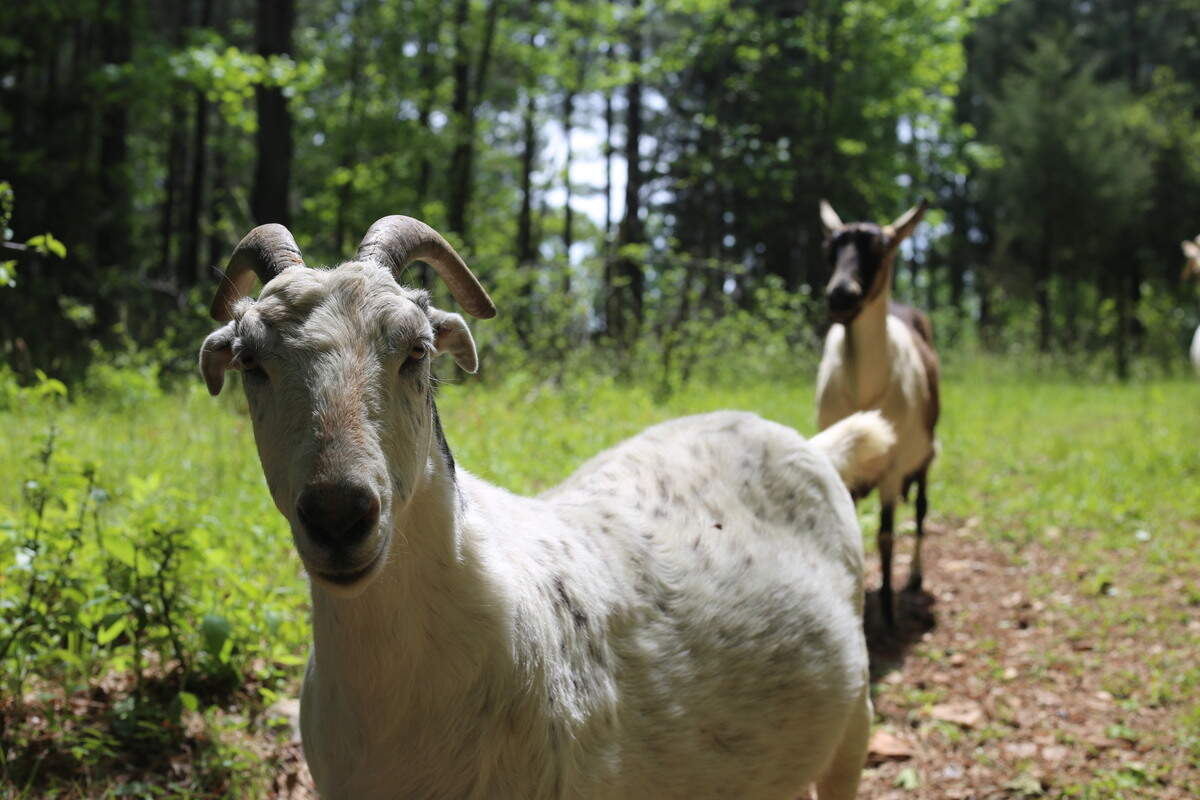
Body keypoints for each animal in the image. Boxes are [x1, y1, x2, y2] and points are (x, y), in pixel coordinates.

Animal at [815, 199, 940, 628]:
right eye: (830, 247)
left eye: (882, 248)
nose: (841, 295)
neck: (865, 391)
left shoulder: (894, 465)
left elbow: (886, 535)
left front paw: (887, 611)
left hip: (925, 455)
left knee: (920, 510)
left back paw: (915, 577)